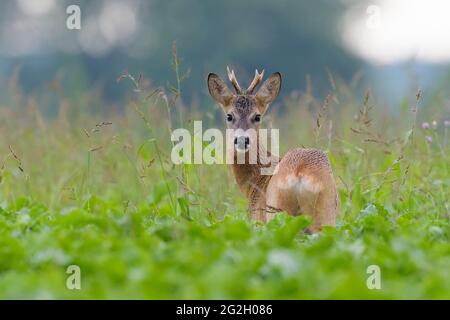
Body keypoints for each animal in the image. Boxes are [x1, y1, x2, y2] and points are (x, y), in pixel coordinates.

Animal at [207, 67, 338, 232]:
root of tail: (300, 173)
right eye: (229, 116)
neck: (256, 181)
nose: (242, 140)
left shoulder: (257, 220)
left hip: (277, 212)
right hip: (326, 213)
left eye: (257, 116)